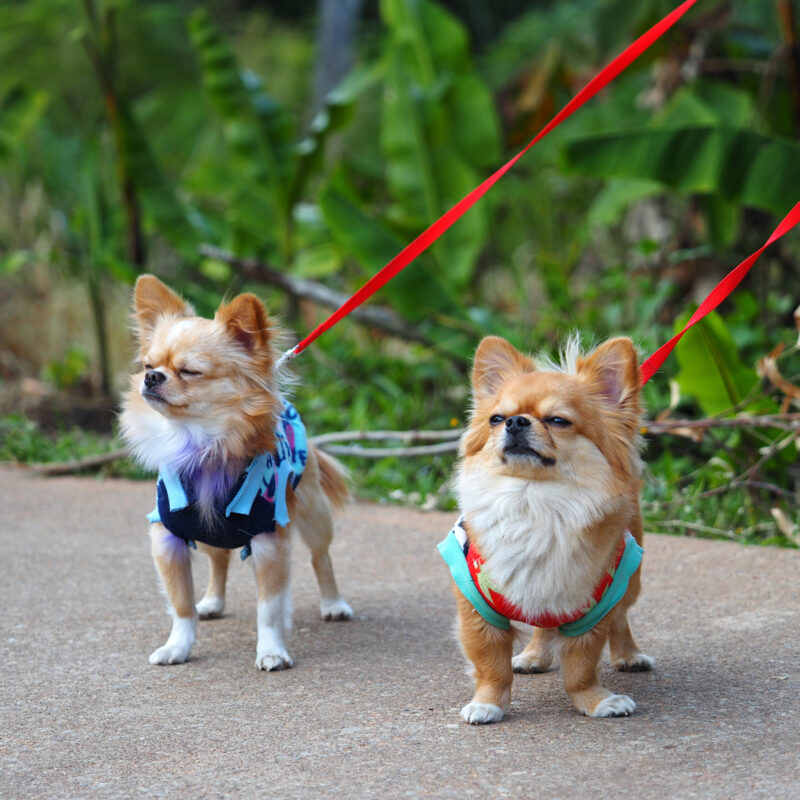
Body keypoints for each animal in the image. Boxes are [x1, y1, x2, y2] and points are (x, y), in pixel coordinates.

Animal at [120, 276, 352, 668]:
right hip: (209, 535)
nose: (151, 377)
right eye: (149, 363)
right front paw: (177, 646)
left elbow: (268, 610)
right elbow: (181, 605)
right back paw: (213, 602)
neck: (200, 446)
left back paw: (333, 603)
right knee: (219, 561)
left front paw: (271, 651)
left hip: (313, 513)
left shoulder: (270, 542)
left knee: (322, 558)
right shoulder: (167, 540)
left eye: (189, 371)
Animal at [440, 334, 652, 720]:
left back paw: (629, 655)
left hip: (630, 578)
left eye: (557, 420)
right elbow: (491, 664)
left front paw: (594, 701)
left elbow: (581, 666)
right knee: (542, 622)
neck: (533, 503)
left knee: (621, 618)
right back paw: (534, 656)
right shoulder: (477, 607)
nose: (515, 422)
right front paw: (487, 703)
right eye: (496, 419)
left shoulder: (594, 605)